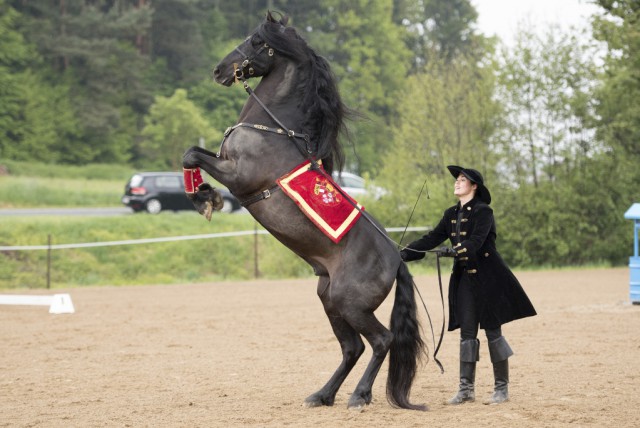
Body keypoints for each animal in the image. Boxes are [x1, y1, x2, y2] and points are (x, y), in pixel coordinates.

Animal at [182, 11, 428, 410]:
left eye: (257, 41)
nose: (219, 70)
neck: (272, 130)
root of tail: (397, 259)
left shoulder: (239, 174)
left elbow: (191, 154)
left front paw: (205, 199)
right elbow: (193, 155)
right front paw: (206, 195)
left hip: (350, 302)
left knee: (381, 341)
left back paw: (358, 396)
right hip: (328, 298)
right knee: (352, 348)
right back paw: (322, 394)